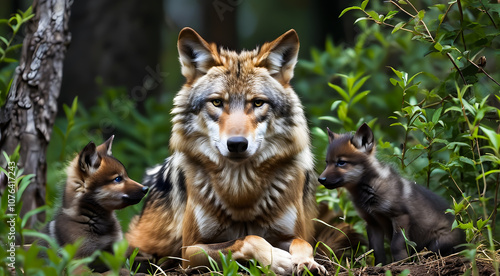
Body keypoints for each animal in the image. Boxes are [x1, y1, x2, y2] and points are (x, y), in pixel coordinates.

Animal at [125, 27, 360, 274]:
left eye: (257, 103)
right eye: (217, 102)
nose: (237, 143)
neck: (241, 189)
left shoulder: (294, 233)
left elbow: (302, 242)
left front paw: (306, 262)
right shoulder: (189, 251)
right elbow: (248, 238)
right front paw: (277, 259)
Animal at [318, 124, 466, 264]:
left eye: (341, 162)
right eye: (327, 162)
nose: (320, 179)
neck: (370, 190)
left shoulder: (400, 216)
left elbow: (396, 245)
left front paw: (401, 263)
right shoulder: (372, 223)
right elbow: (376, 250)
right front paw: (380, 267)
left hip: (436, 244)